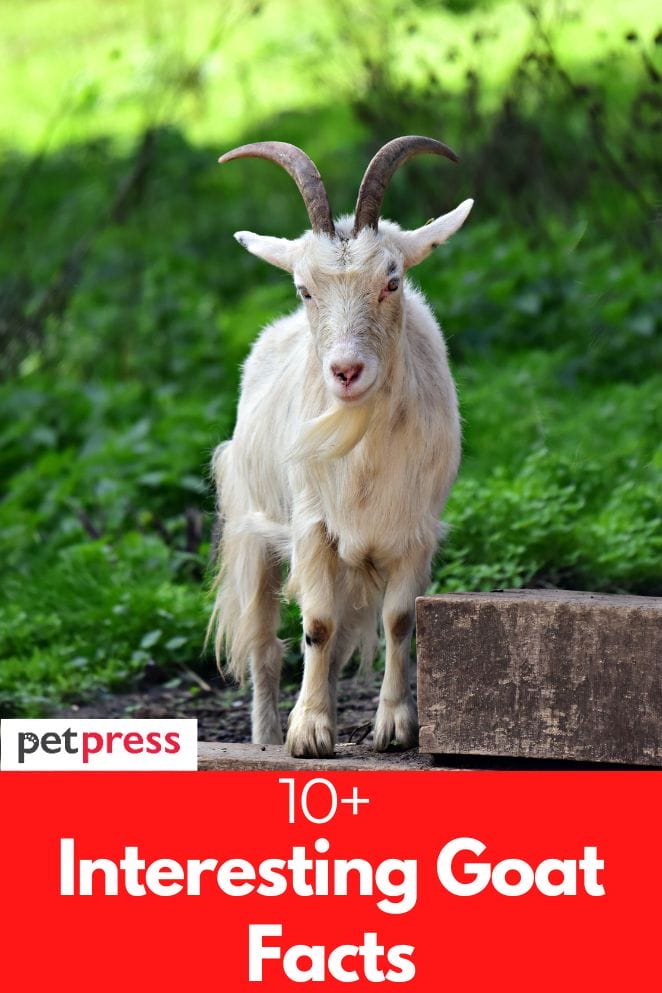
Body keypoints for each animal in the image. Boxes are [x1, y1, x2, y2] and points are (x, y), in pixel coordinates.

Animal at [209, 136, 473, 757]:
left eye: (392, 280)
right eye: (305, 288)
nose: (347, 372)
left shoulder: (416, 529)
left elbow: (399, 620)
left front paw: (395, 726)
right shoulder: (311, 525)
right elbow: (318, 625)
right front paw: (308, 734)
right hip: (253, 525)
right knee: (266, 645)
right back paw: (266, 735)